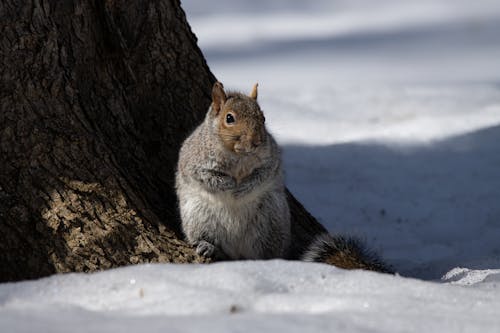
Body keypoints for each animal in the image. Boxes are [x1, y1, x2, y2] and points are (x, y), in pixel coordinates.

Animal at [176, 81, 292, 260]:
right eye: (229, 118)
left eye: (263, 118)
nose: (257, 141)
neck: (238, 155)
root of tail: (237, 252)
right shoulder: (193, 162)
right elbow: (206, 176)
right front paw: (229, 184)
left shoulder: (271, 159)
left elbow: (263, 174)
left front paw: (244, 187)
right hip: (199, 217)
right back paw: (208, 246)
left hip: (271, 220)